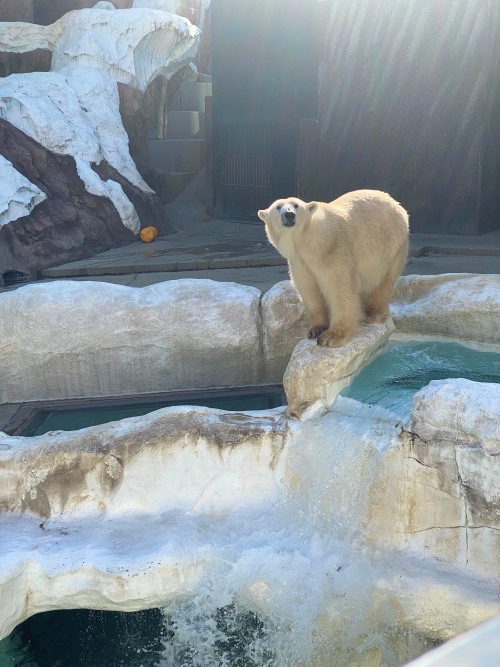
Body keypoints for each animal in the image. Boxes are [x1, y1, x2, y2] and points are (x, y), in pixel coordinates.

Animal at [258, 187, 410, 344]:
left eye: (296, 205)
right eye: (278, 207)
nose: (289, 215)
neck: (308, 242)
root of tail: (396, 204)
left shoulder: (333, 250)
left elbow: (339, 288)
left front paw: (331, 337)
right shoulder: (300, 262)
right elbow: (309, 290)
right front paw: (316, 329)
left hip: (393, 246)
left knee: (384, 282)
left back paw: (373, 314)